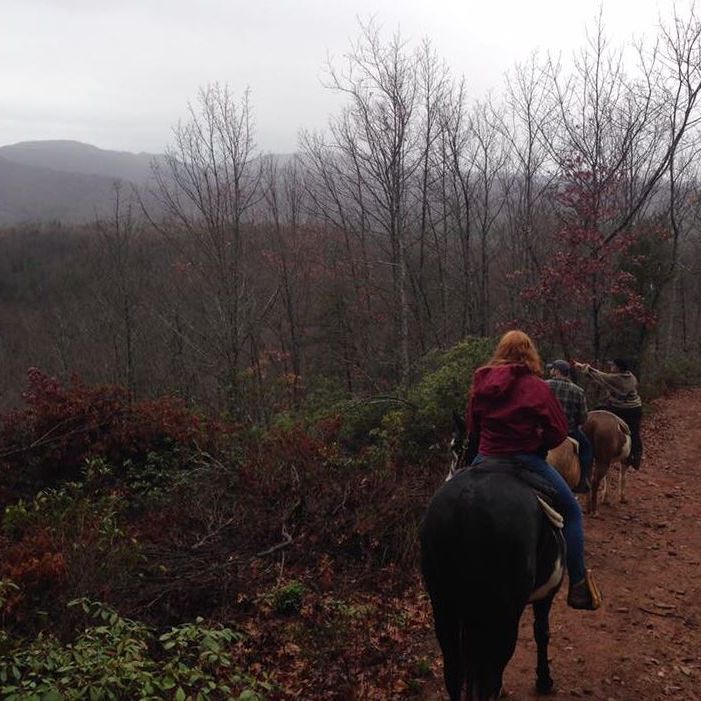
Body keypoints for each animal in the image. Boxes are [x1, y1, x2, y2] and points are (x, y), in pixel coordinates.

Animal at [422, 430, 564, 696]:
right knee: (491, 678)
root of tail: (466, 506)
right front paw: (544, 680)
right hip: (503, 617)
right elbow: (542, 632)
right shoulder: (546, 594)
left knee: (454, 672)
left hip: (443, 603)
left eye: (456, 448)